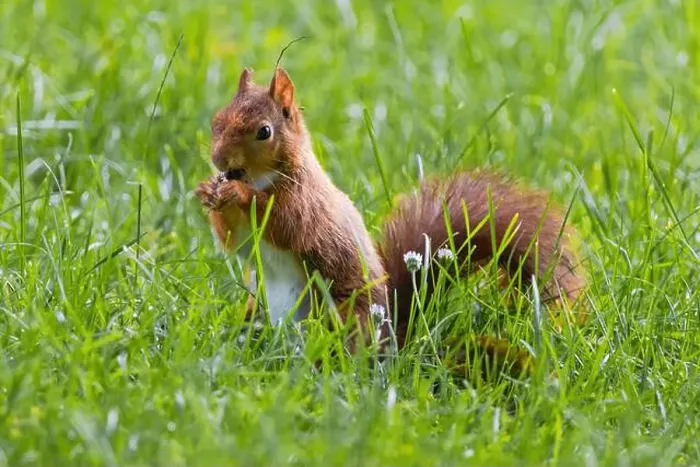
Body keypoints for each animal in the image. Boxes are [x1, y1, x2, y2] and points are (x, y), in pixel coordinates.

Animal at [195, 66, 586, 368]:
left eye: (264, 132)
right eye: (216, 121)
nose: (219, 160)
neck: (262, 177)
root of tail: (391, 346)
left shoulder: (303, 205)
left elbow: (280, 223)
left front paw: (237, 194)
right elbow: (235, 242)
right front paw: (207, 192)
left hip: (343, 314)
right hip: (257, 309)